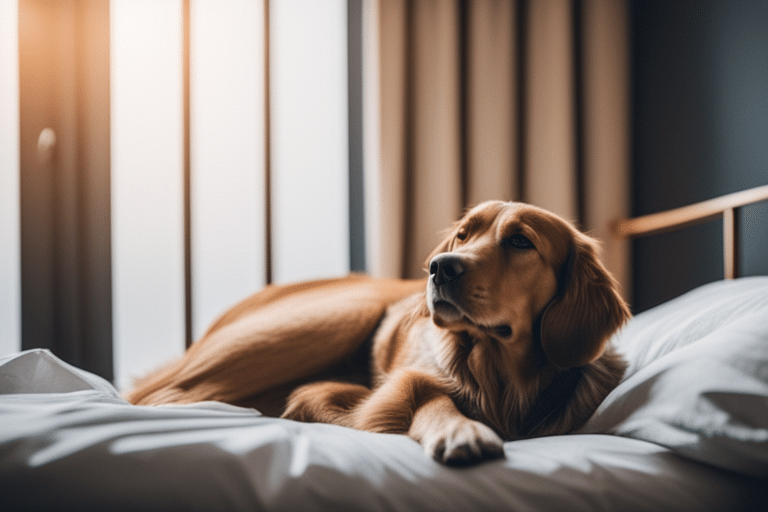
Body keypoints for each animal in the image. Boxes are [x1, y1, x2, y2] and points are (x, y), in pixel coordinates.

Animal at [126, 202, 632, 466]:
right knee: (162, 397)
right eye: (464, 235)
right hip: (342, 314)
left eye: (521, 241)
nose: (439, 267)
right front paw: (461, 429)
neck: (498, 372)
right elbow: (431, 398)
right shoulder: (407, 381)